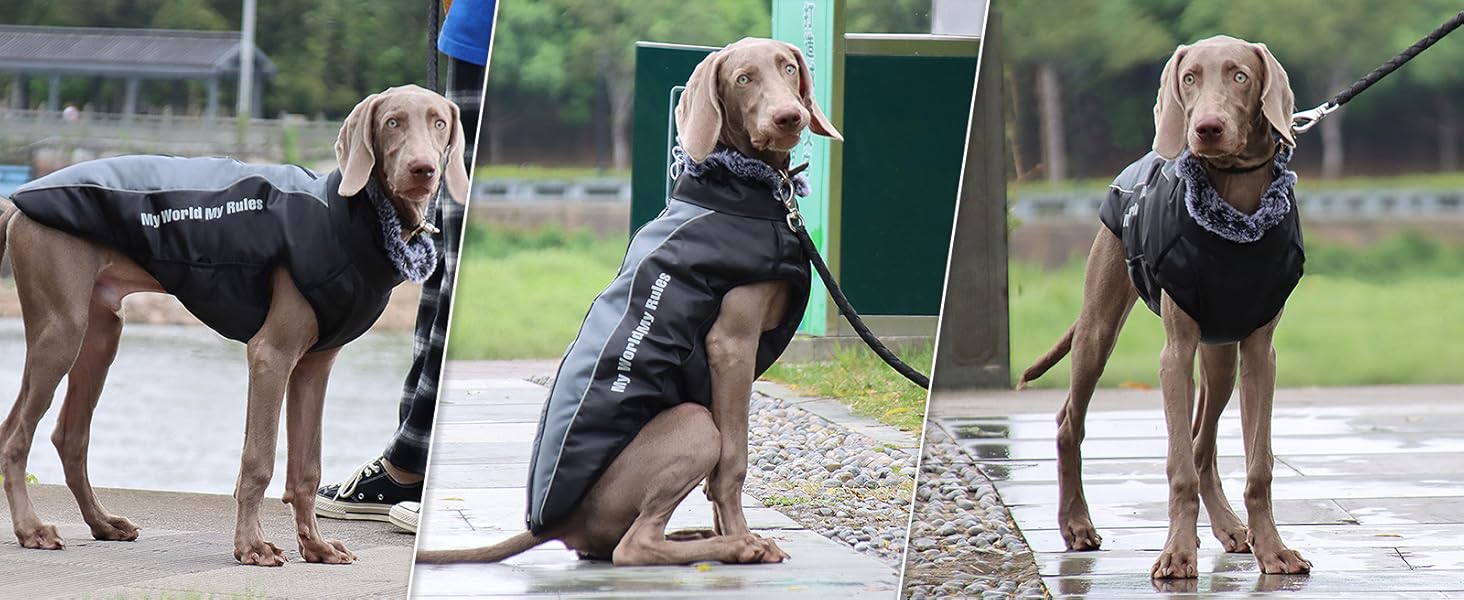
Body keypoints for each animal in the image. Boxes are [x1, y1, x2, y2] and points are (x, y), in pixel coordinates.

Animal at [0, 84, 465, 567]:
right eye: (392, 122)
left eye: (439, 123)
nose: (423, 170)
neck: (357, 217)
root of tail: (17, 202)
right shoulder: (271, 355)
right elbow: (258, 459)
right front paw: (252, 546)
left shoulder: (314, 366)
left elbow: (307, 466)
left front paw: (316, 547)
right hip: (61, 329)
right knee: (14, 435)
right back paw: (32, 529)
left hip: (101, 335)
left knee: (67, 436)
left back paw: (103, 523)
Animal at [418, 36, 843, 567]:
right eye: (743, 79)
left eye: (788, 68)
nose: (789, 117)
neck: (740, 187)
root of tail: (554, 525)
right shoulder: (732, 343)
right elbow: (733, 461)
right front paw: (744, 535)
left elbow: (720, 477)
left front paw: (729, 528)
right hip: (693, 421)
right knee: (632, 547)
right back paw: (733, 546)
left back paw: (700, 537)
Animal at [1018, 35, 1317, 579]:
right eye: (1189, 77)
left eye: (1240, 76)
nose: (1207, 129)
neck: (1234, 200)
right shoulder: (1175, 352)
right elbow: (1178, 466)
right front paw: (1177, 554)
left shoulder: (1260, 352)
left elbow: (1258, 466)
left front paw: (1273, 550)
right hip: (1099, 329)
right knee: (1071, 420)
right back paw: (1076, 524)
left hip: (1221, 355)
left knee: (1203, 443)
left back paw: (1230, 529)